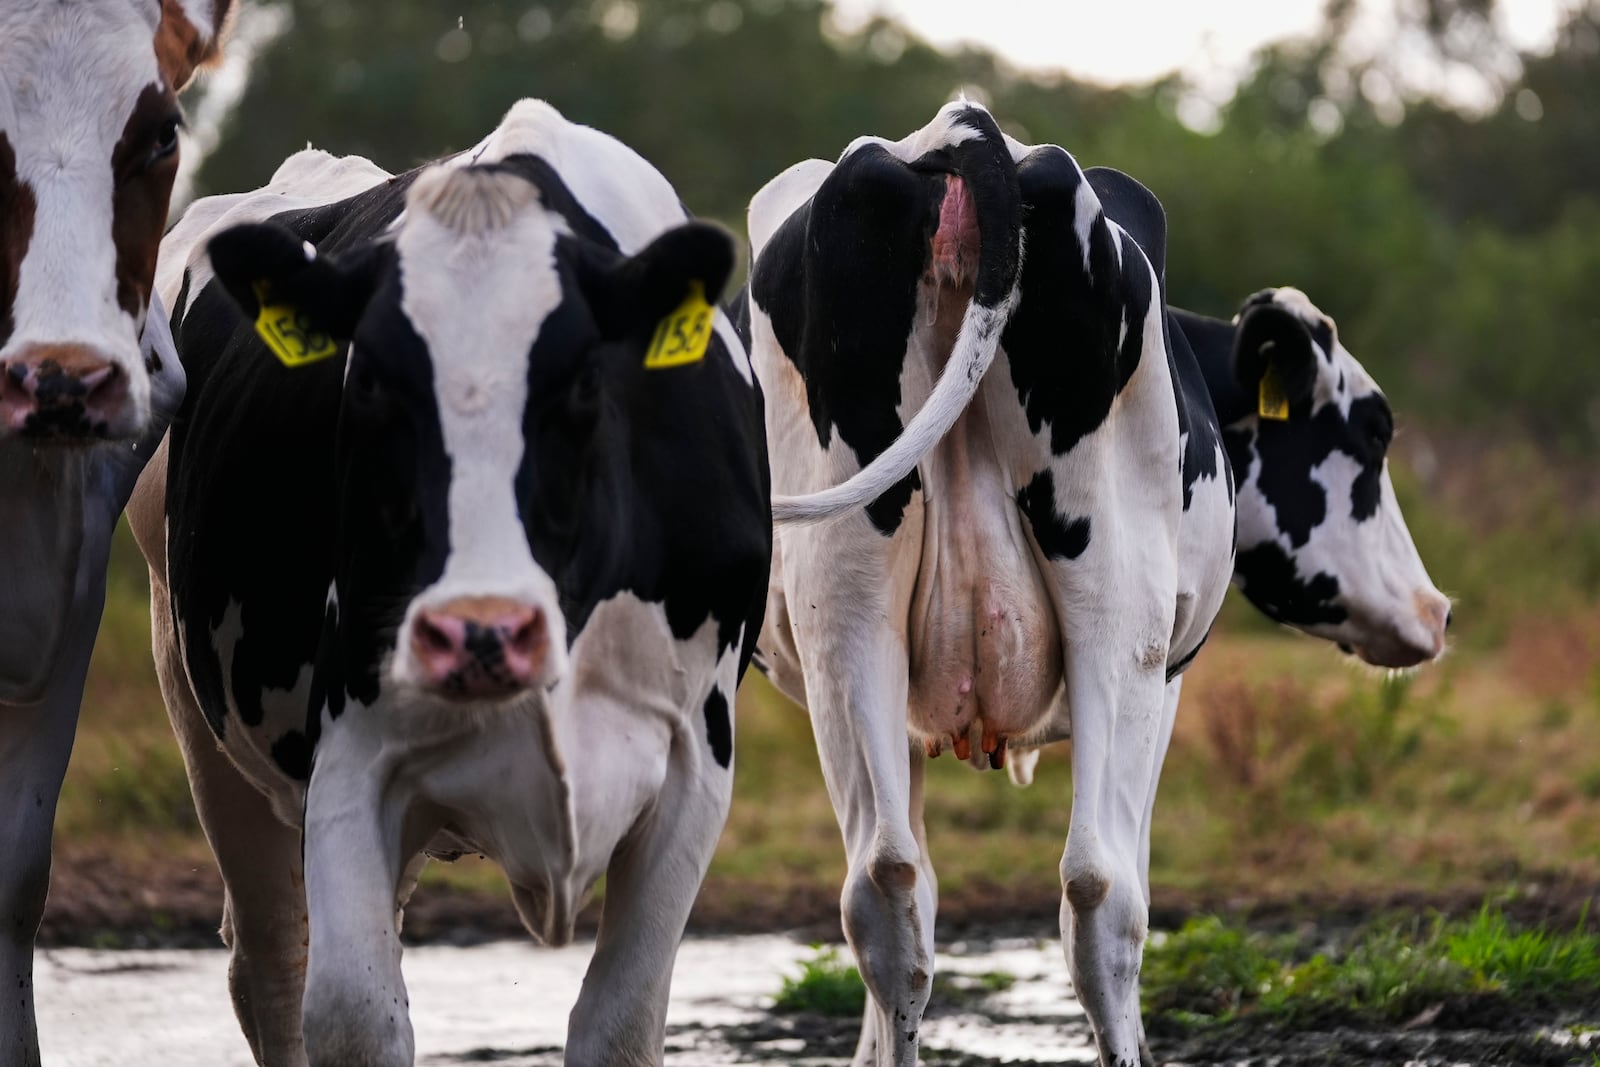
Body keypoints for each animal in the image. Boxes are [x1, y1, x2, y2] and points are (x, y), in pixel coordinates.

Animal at [124, 97, 774, 1062]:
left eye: (585, 381)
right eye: (369, 381)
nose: (480, 629)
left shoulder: (696, 762)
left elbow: (620, 1021)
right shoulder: (351, 755)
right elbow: (354, 1013)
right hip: (199, 710)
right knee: (274, 964)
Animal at [742, 102, 1446, 1067]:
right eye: (1373, 432)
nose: (1434, 610)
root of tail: (962, 132)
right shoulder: (1168, 675)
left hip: (845, 620)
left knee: (883, 883)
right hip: (1118, 617)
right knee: (1101, 888)